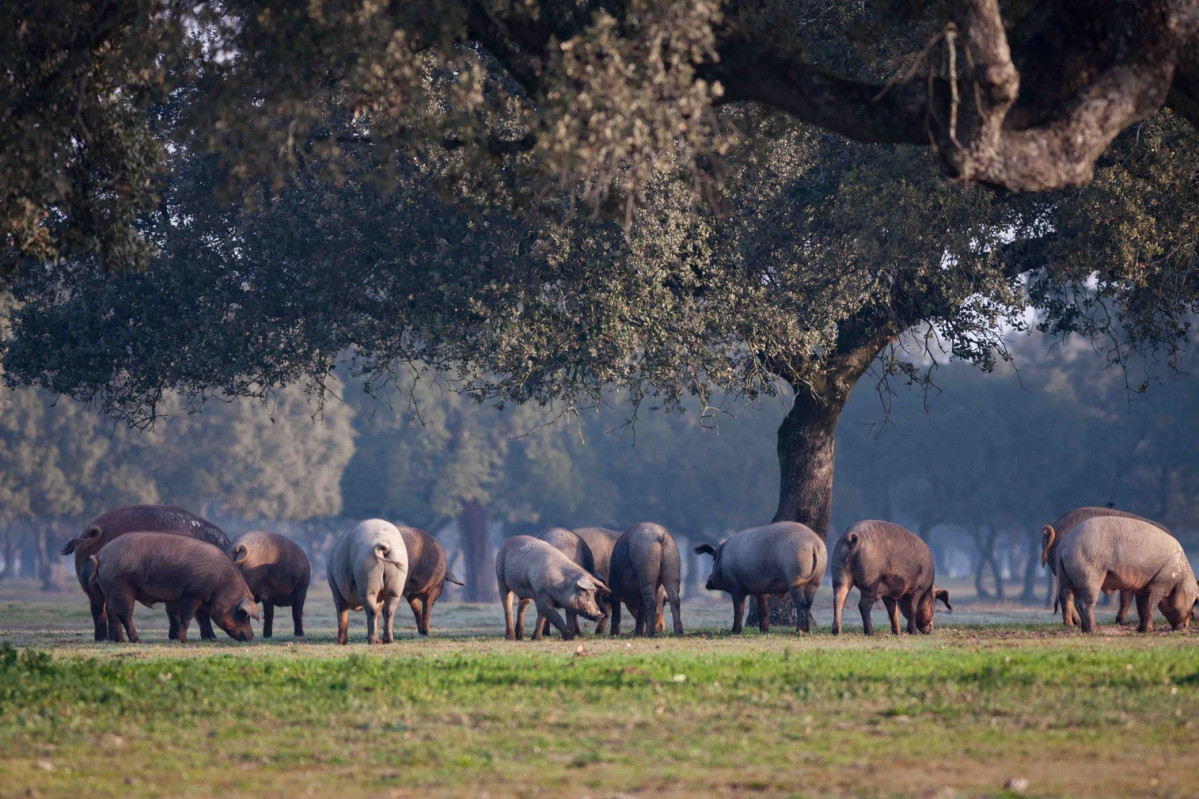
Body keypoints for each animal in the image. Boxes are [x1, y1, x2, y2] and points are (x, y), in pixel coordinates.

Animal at [62, 501, 233, 638]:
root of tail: (92, 533)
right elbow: (199, 613)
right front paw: (210, 637)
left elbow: (174, 612)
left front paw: (174, 636)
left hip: (92, 588)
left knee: (99, 611)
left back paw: (104, 638)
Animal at [87, 527, 260, 643]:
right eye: (243, 615)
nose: (251, 637)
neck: (221, 584)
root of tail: (100, 555)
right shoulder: (192, 594)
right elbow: (186, 617)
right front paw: (183, 641)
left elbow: (188, 617)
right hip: (122, 586)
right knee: (124, 614)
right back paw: (136, 640)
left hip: (110, 590)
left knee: (111, 612)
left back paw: (119, 641)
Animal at [700, 520, 829, 633]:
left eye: (713, 560)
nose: (708, 582)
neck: (724, 559)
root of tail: (814, 544)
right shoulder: (761, 590)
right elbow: (763, 610)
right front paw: (764, 631)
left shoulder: (735, 586)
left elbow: (739, 609)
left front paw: (734, 631)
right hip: (816, 580)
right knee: (809, 603)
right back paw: (807, 630)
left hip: (796, 578)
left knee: (801, 604)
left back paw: (799, 630)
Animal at [1040, 503, 1170, 628]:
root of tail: (1054, 526)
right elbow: (1127, 596)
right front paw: (1122, 622)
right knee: (1068, 595)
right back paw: (1073, 624)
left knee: (1066, 593)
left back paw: (1076, 622)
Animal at [1059, 513, 1199, 633]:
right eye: (1194, 603)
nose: (1185, 626)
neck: (1179, 579)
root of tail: (1064, 544)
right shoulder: (1159, 583)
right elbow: (1151, 606)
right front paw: (1149, 631)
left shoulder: (1142, 588)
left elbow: (1142, 608)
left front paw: (1141, 630)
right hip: (1090, 577)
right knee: (1085, 604)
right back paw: (1095, 630)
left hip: (1069, 579)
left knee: (1075, 601)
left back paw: (1085, 630)